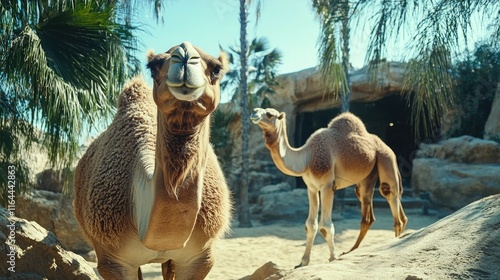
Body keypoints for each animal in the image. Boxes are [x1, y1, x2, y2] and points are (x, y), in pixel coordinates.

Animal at [252, 106, 408, 266]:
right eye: (258, 109)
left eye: (269, 114)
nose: (254, 112)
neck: (307, 158)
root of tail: (386, 146)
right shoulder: (312, 188)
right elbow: (311, 225)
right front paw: (303, 261)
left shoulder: (327, 186)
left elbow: (325, 226)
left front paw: (333, 257)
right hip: (366, 177)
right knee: (370, 212)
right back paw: (352, 250)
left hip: (386, 158)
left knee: (390, 196)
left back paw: (393, 243)